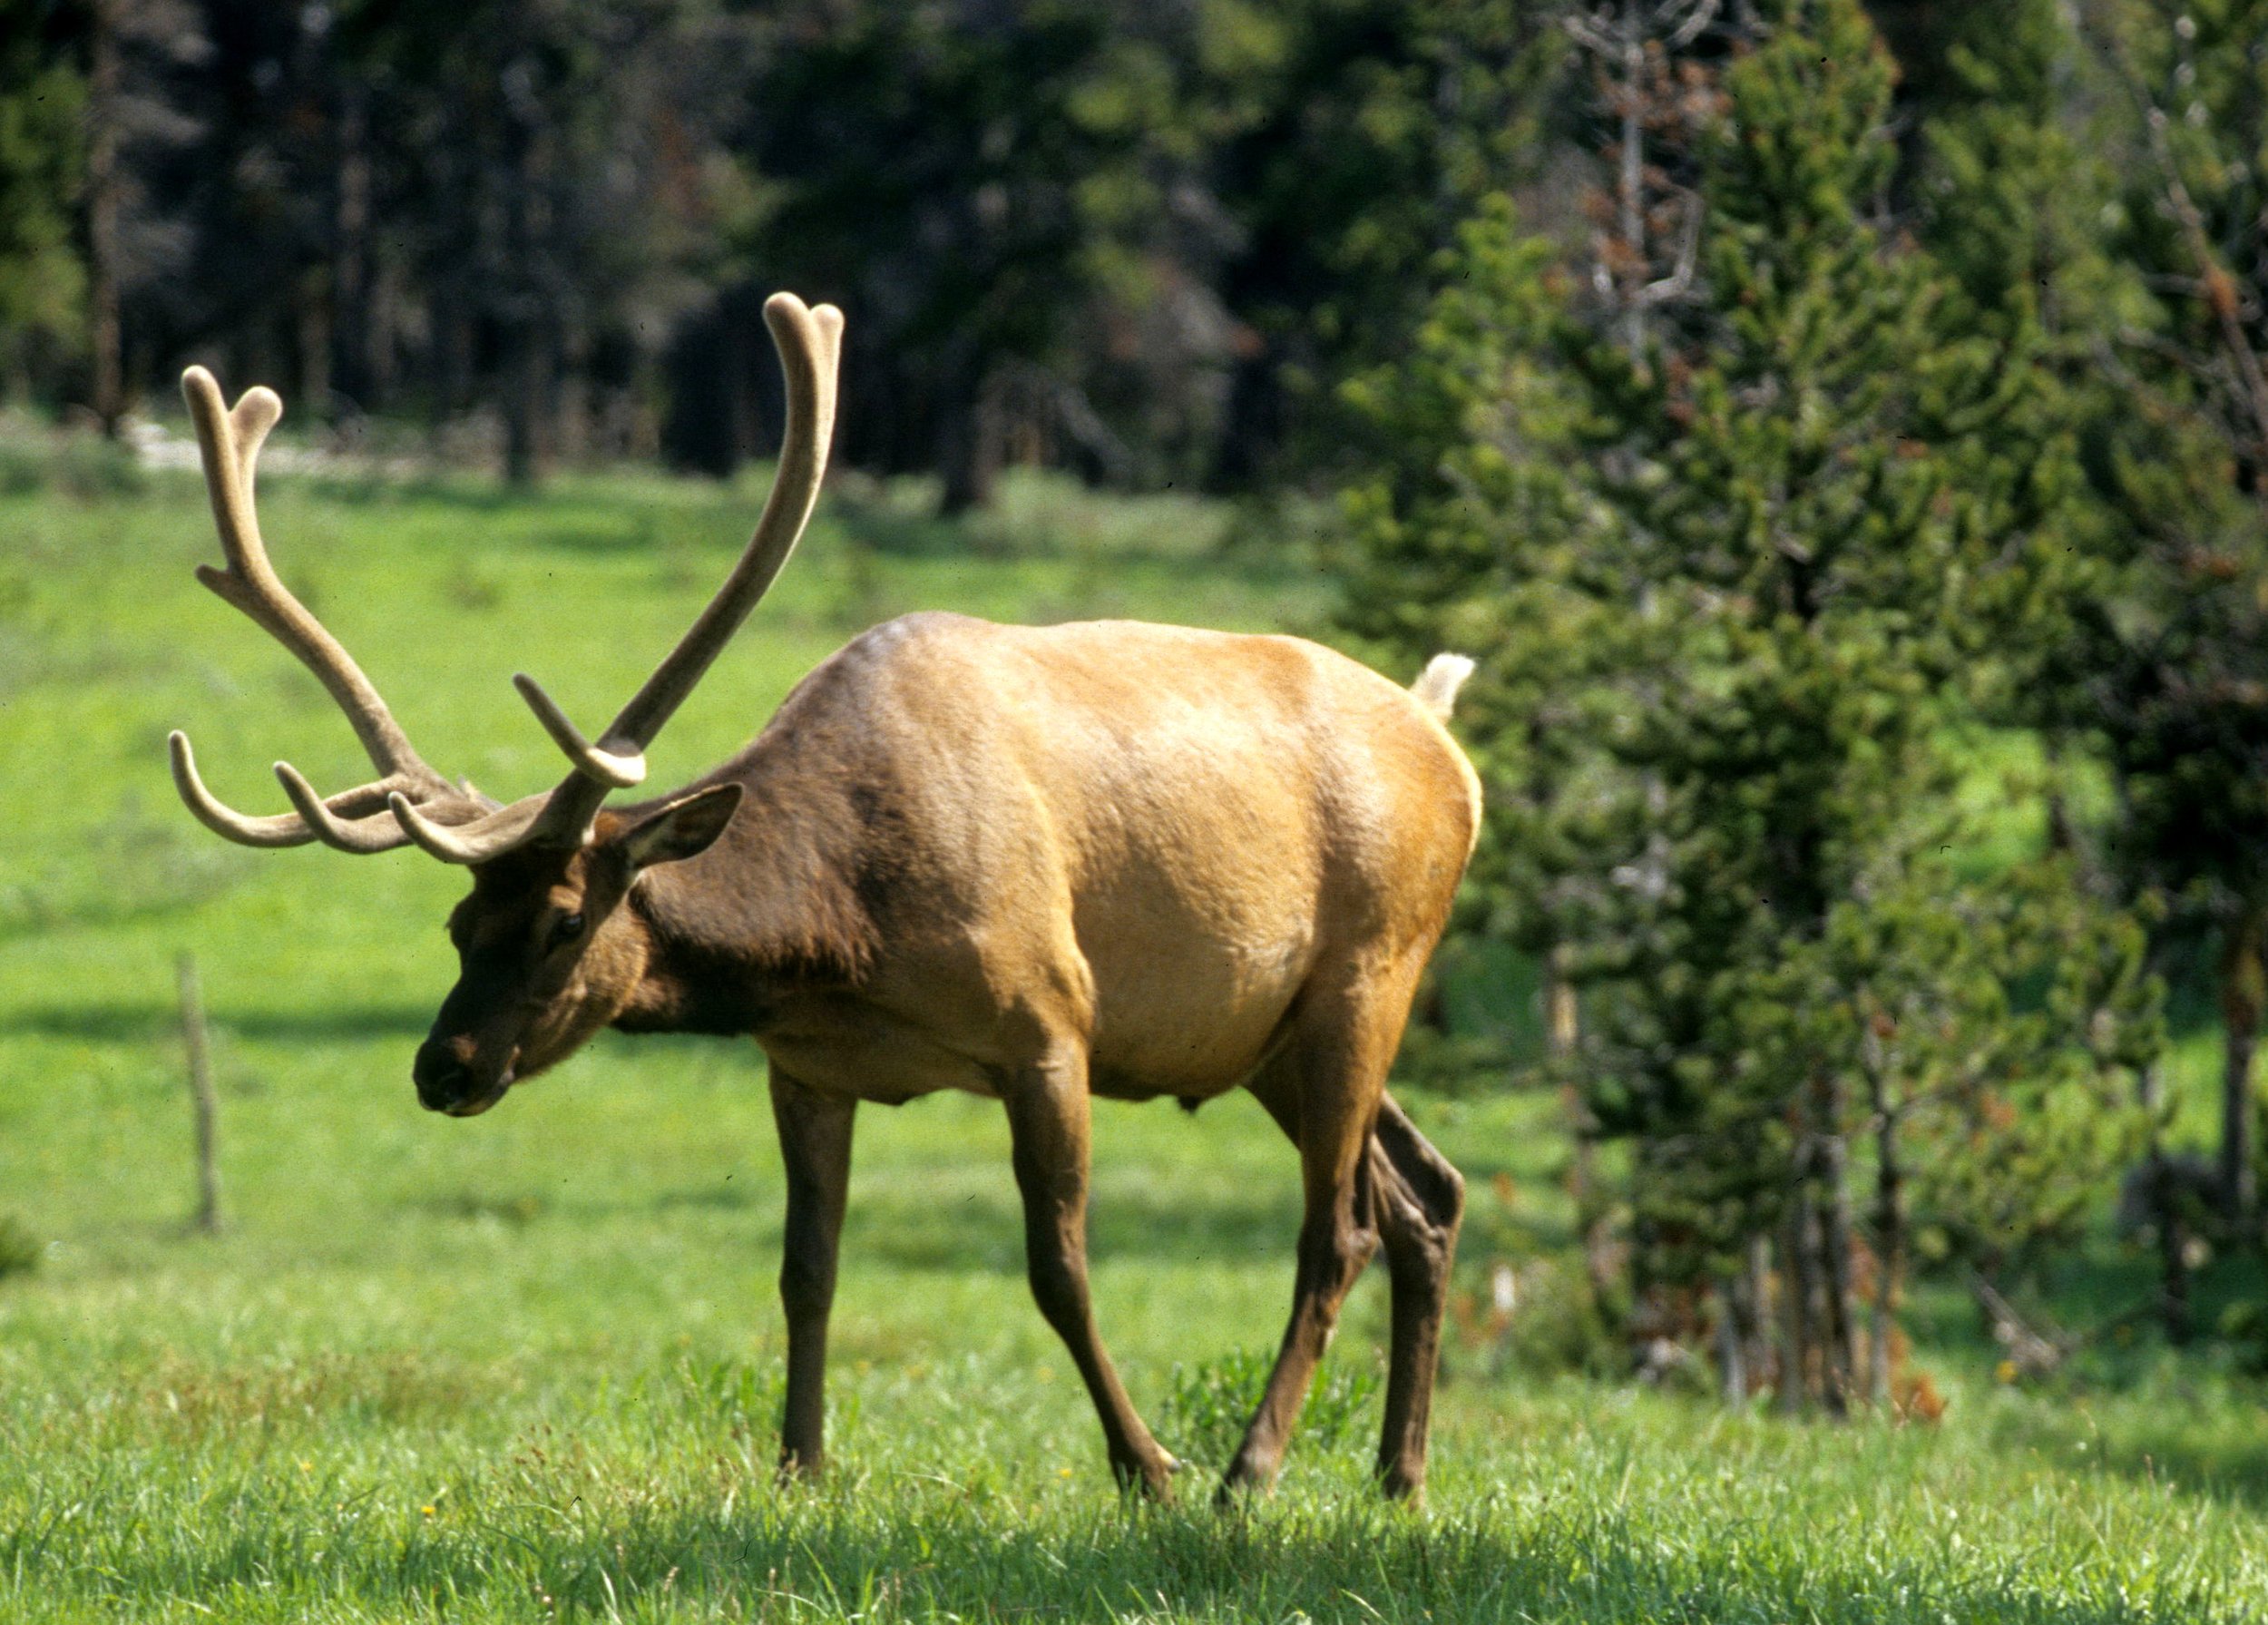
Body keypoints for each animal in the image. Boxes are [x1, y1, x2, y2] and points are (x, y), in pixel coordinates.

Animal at [164, 292, 1478, 1503]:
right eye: (454, 925)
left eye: (561, 920)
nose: (444, 1066)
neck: (841, 932)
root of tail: (1450, 747)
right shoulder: (805, 1065)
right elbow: (808, 1268)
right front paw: (800, 1463)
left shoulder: (1051, 1022)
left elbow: (1057, 1266)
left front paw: (1145, 1462)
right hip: (1264, 1034)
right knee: (1427, 1192)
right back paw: (1399, 1472)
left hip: (1371, 970)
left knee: (1341, 1227)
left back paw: (1250, 1468)